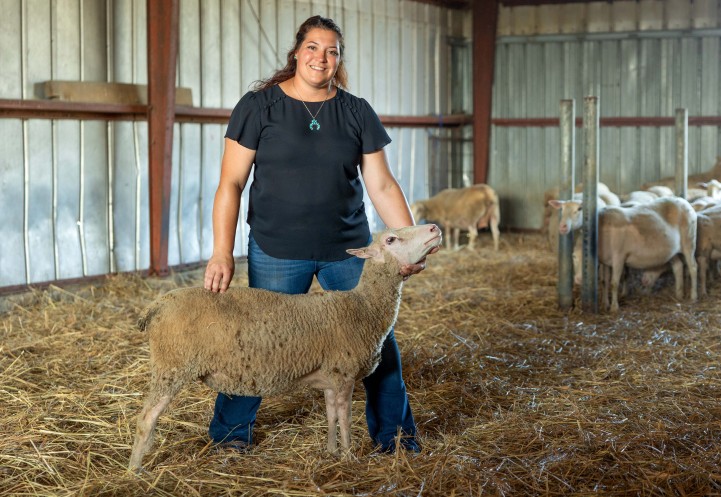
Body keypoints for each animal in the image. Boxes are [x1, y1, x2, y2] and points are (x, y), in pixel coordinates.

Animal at [128, 224, 443, 471]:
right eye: (391, 240)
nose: (434, 228)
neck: (362, 308)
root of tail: (158, 304)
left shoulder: (330, 379)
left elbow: (331, 417)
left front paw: (331, 452)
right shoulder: (344, 375)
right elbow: (345, 420)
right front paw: (349, 457)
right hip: (172, 365)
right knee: (145, 419)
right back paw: (135, 470)